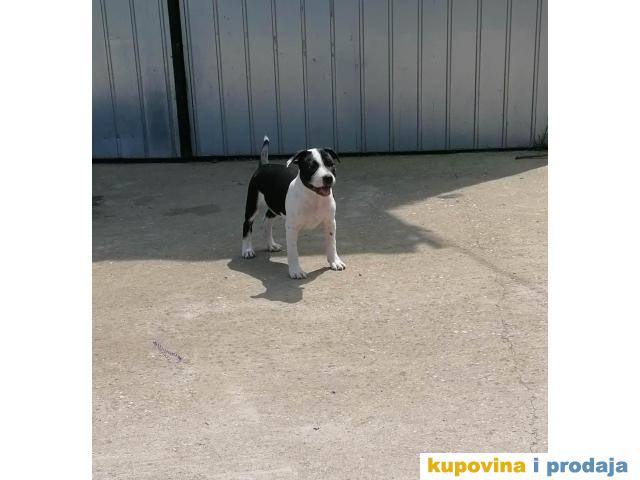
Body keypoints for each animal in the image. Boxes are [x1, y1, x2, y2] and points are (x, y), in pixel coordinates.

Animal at [241, 136, 346, 279]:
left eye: (331, 164)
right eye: (311, 167)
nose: (328, 178)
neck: (313, 197)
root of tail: (264, 165)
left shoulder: (330, 222)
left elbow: (332, 243)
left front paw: (335, 261)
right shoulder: (291, 228)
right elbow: (293, 252)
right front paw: (296, 271)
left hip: (274, 204)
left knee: (267, 221)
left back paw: (271, 245)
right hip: (252, 204)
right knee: (247, 224)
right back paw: (247, 250)